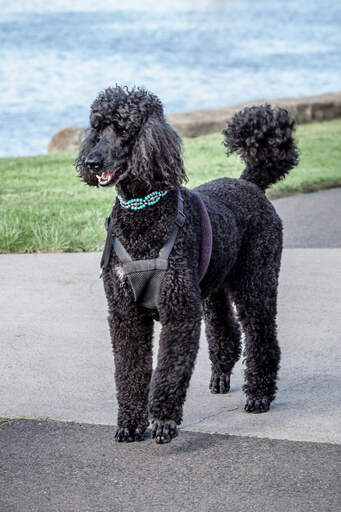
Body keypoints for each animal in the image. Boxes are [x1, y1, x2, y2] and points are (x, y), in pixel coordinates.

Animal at [75, 85, 298, 444]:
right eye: (97, 128)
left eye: (123, 129)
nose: (92, 162)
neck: (143, 213)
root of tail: (250, 183)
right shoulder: (125, 313)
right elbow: (130, 368)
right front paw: (130, 422)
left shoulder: (178, 310)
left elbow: (169, 369)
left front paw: (164, 420)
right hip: (213, 289)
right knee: (225, 330)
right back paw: (221, 376)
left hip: (256, 282)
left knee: (261, 335)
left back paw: (259, 394)